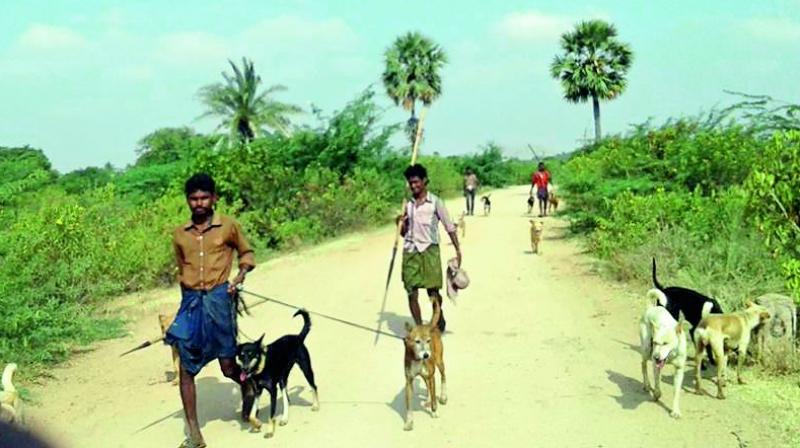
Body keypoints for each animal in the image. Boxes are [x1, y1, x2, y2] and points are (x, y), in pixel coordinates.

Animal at [234, 310, 318, 440]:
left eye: (251, 355)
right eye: (241, 355)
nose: (244, 368)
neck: (260, 369)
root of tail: (298, 337)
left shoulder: (272, 391)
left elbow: (271, 415)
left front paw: (269, 431)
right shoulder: (258, 391)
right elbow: (252, 414)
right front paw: (257, 424)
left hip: (306, 368)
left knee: (313, 386)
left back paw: (315, 405)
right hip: (283, 377)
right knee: (286, 396)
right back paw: (284, 418)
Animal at [404, 300, 446, 430]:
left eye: (428, 341)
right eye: (417, 341)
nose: (426, 355)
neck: (417, 359)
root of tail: (430, 325)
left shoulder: (432, 376)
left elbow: (434, 398)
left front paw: (434, 412)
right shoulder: (409, 381)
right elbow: (409, 406)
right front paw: (409, 422)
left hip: (439, 361)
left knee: (443, 377)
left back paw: (443, 396)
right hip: (424, 375)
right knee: (427, 385)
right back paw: (427, 399)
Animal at [636, 288, 688, 418]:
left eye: (665, 343)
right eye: (655, 342)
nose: (656, 357)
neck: (672, 355)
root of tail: (651, 308)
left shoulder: (679, 370)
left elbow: (676, 391)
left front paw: (675, 411)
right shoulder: (656, 365)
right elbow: (657, 384)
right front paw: (656, 394)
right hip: (646, 349)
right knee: (643, 364)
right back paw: (647, 385)